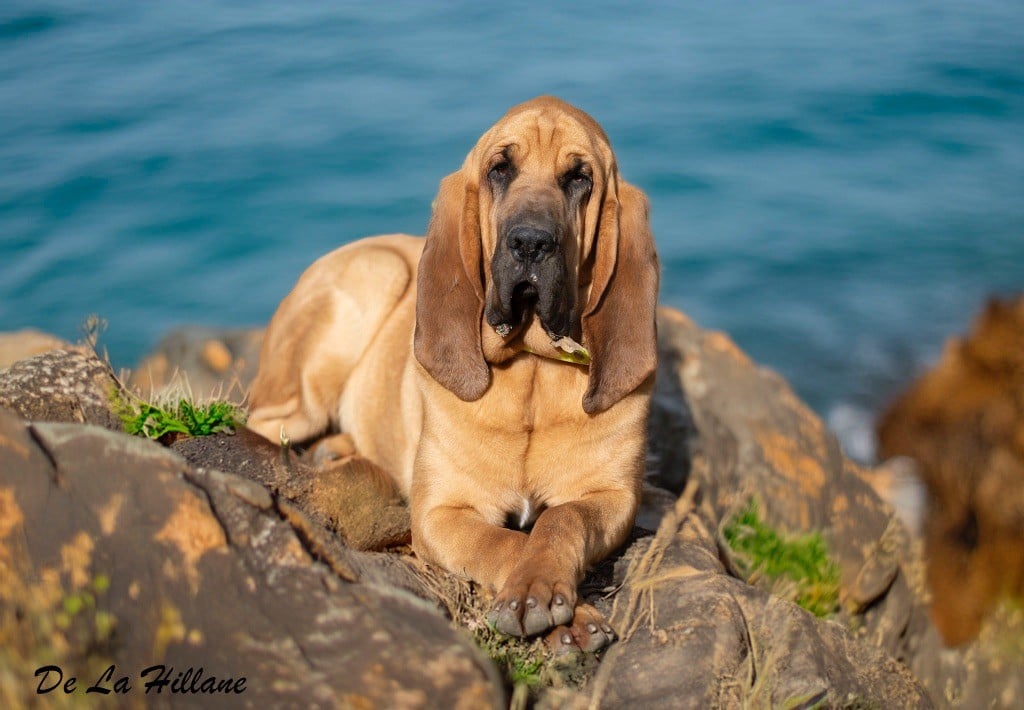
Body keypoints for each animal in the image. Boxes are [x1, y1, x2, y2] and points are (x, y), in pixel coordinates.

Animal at [251, 96, 659, 651]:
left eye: (580, 177)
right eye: (499, 169)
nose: (530, 243)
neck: (531, 370)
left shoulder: (611, 498)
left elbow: (561, 518)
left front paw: (548, 592)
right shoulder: (441, 512)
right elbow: (501, 543)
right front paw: (540, 598)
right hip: (373, 282)